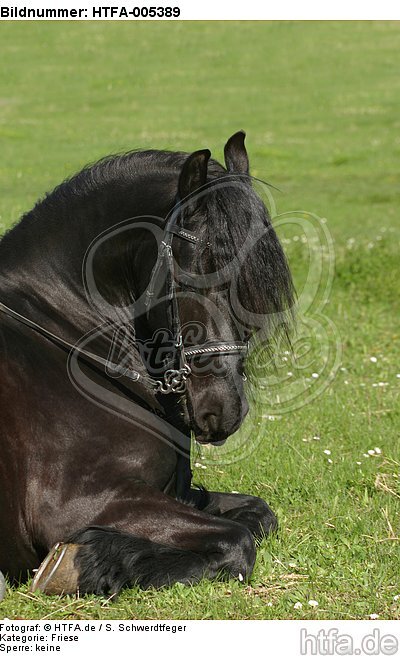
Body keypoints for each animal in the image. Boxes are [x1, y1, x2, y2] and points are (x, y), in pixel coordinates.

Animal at [0, 131, 294, 596]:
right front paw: (86, 562)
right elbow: (238, 541)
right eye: (196, 277)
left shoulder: (173, 492)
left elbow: (259, 514)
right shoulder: (77, 503)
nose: (226, 411)